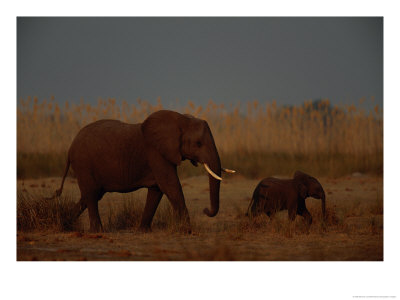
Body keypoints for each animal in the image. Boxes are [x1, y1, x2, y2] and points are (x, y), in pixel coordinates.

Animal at [54, 109, 234, 232]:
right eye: (198, 144)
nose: (205, 210)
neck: (181, 119)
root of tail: (70, 148)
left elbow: (157, 190)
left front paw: (143, 230)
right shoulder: (156, 152)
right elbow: (170, 185)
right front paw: (187, 230)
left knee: (90, 194)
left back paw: (65, 223)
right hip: (83, 163)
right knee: (91, 194)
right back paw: (97, 231)